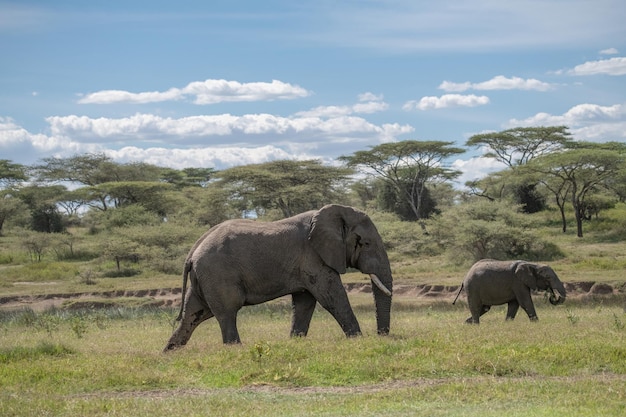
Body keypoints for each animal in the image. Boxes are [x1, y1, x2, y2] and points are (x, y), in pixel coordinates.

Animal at [163, 203, 392, 350]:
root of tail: (192, 253)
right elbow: (331, 296)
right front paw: (358, 341)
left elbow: (304, 302)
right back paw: (236, 349)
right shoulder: (313, 257)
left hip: (204, 278)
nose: (382, 336)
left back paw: (170, 352)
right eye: (365, 243)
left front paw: (295, 343)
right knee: (227, 312)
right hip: (217, 274)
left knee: (194, 313)